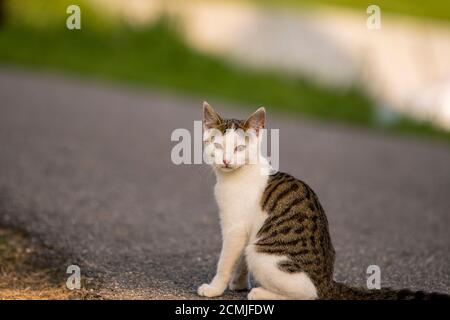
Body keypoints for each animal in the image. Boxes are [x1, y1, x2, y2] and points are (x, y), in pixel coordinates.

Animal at [198, 102, 450, 300]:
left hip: (262, 254)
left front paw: (215, 288)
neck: (233, 177)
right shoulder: (246, 229)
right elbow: (239, 262)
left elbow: (225, 262)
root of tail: (327, 281)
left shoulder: (235, 229)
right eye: (217, 146)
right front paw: (239, 284)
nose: (226, 160)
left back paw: (261, 293)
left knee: (308, 294)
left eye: (240, 148)